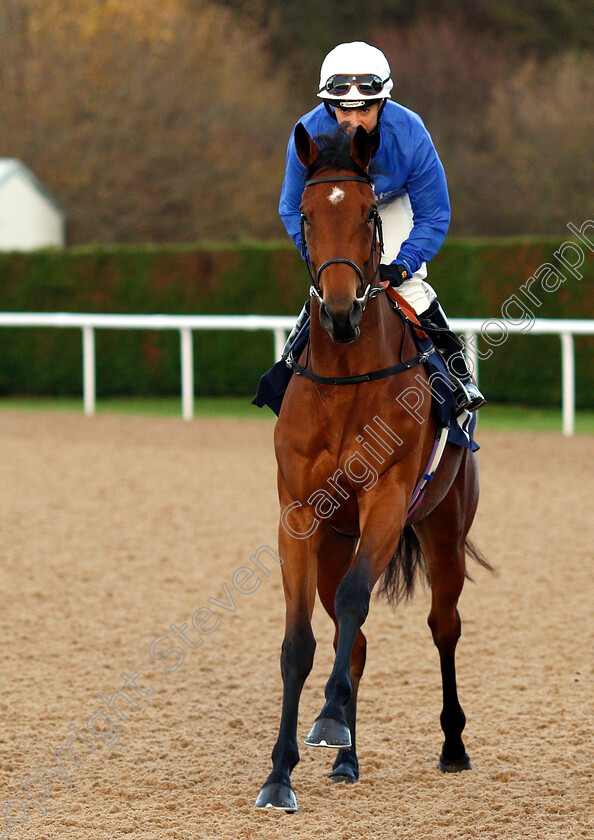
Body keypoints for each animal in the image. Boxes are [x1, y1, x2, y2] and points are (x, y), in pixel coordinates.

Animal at [252, 124, 488, 812]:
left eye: (367, 215)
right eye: (306, 215)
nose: (337, 312)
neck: (346, 382)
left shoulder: (386, 501)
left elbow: (359, 599)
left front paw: (330, 719)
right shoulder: (300, 514)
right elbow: (300, 642)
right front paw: (281, 772)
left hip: (444, 529)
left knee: (442, 625)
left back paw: (452, 746)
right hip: (338, 539)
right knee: (348, 640)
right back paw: (346, 759)